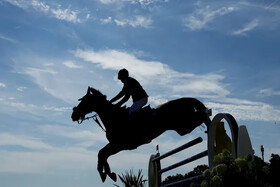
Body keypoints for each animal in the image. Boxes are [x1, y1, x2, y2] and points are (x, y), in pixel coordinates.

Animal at [71, 87, 209, 182]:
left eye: (84, 102)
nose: (74, 115)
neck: (114, 117)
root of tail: (183, 100)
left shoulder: (119, 145)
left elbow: (102, 154)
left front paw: (106, 174)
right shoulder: (117, 146)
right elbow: (102, 154)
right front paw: (108, 174)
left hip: (184, 125)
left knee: (202, 115)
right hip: (183, 128)